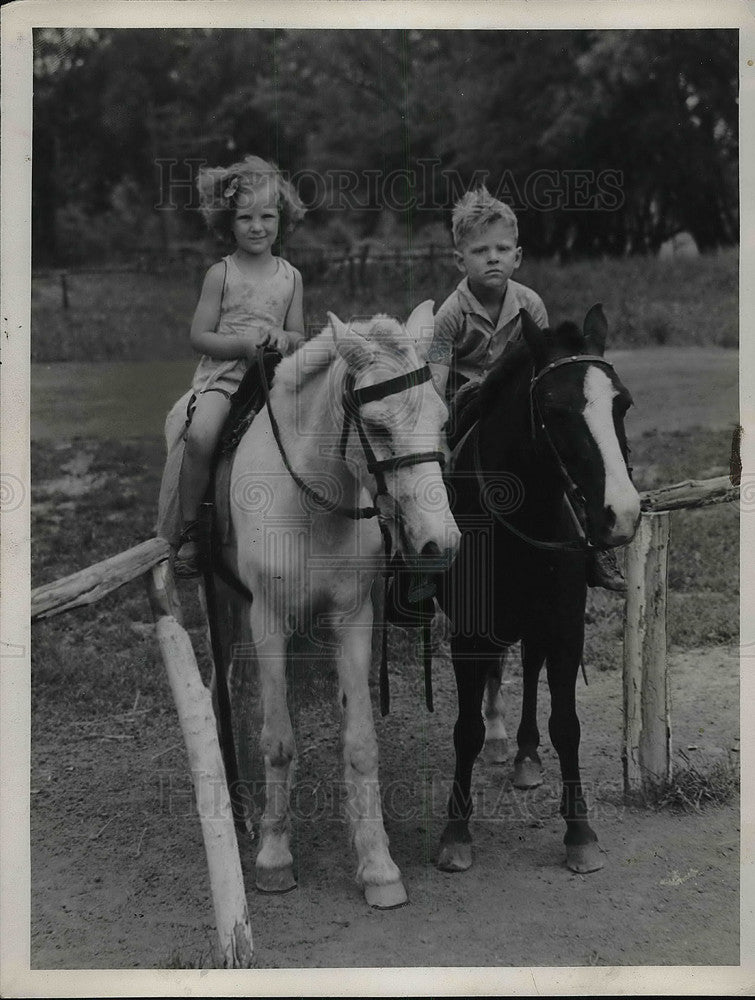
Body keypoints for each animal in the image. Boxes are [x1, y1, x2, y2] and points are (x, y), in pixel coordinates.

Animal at [226, 298, 460, 908]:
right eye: (376, 426)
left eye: (442, 420)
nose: (440, 544)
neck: (310, 502)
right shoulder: (267, 621)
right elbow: (278, 740)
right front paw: (274, 857)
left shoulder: (354, 620)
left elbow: (360, 743)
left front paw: (378, 866)